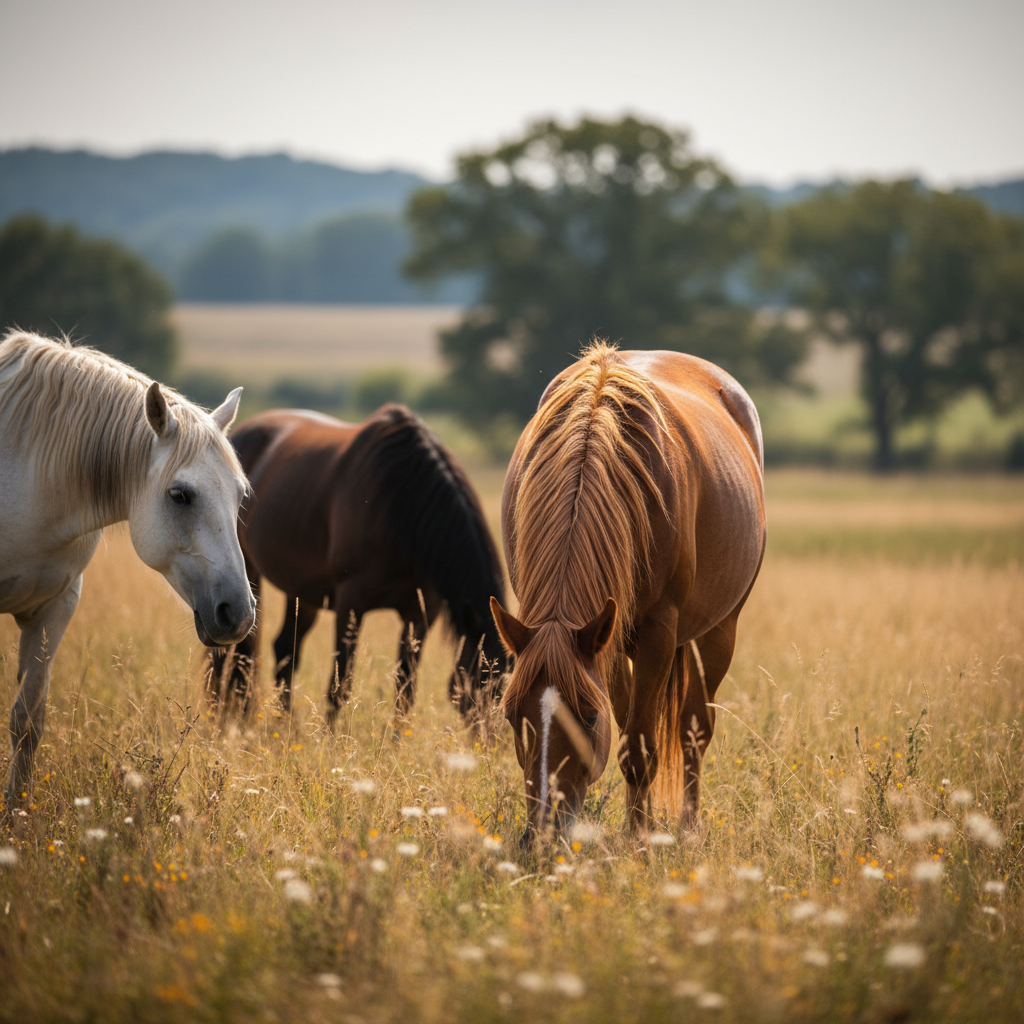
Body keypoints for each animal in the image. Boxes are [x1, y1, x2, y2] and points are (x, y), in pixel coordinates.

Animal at [0, 331, 255, 814]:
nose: (239, 614)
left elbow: (28, 722)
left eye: (240, 495)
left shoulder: (55, 607)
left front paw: (16, 814)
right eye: (179, 495)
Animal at [207, 404, 508, 724]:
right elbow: (340, 687)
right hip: (247, 576)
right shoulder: (350, 603)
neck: (401, 504)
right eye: (484, 684)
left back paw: (283, 724)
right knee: (238, 657)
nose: (496, 737)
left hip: (302, 592)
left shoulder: (420, 614)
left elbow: (405, 691)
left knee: (284, 650)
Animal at [490, 342, 765, 844]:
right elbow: (627, 737)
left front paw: (640, 839)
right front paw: (639, 826)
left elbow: (639, 749)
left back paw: (687, 826)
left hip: (719, 631)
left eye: (587, 716)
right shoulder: (607, 637)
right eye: (511, 714)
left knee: (693, 729)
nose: (542, 835)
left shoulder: (656, 631)